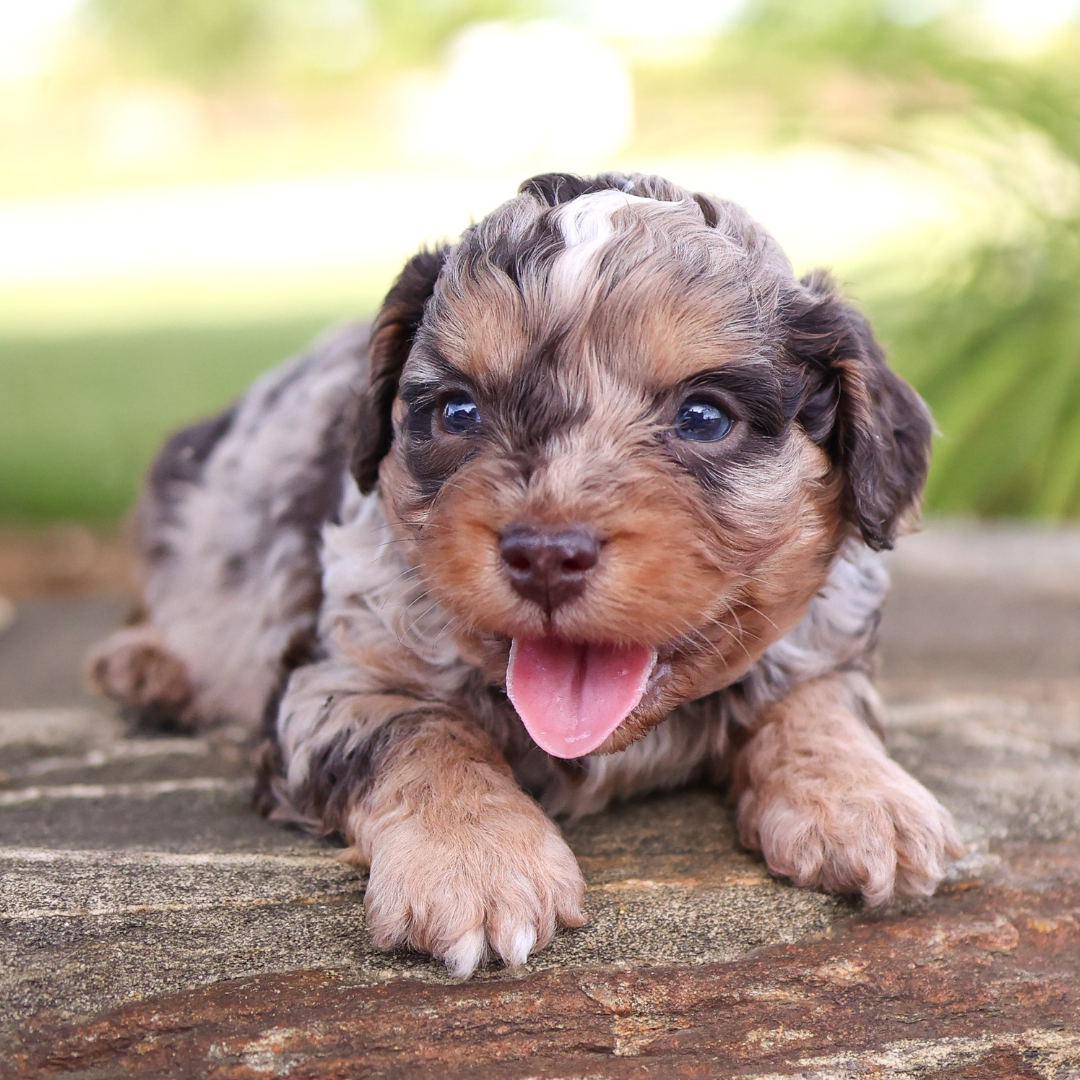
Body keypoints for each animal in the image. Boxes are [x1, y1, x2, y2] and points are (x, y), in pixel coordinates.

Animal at [86, 172, 963, 976]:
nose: (544, 553)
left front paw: (865, 800)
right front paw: (473, 865)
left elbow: (817, 704)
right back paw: (148, 666)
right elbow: (422, 732)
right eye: (457, 412)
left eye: (704, 417)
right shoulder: (332, 676)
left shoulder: (826, 641)